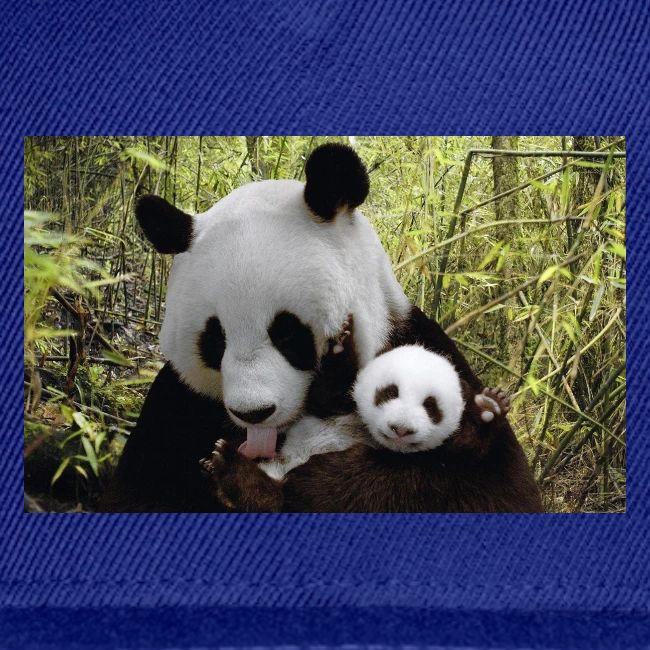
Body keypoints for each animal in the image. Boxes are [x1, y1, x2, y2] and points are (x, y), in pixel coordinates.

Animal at [100, 143, 542, 513]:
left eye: (287, 333)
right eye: (215, 339)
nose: (254, 413)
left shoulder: (422, 347)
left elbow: (488, 488)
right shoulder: (177, 407)